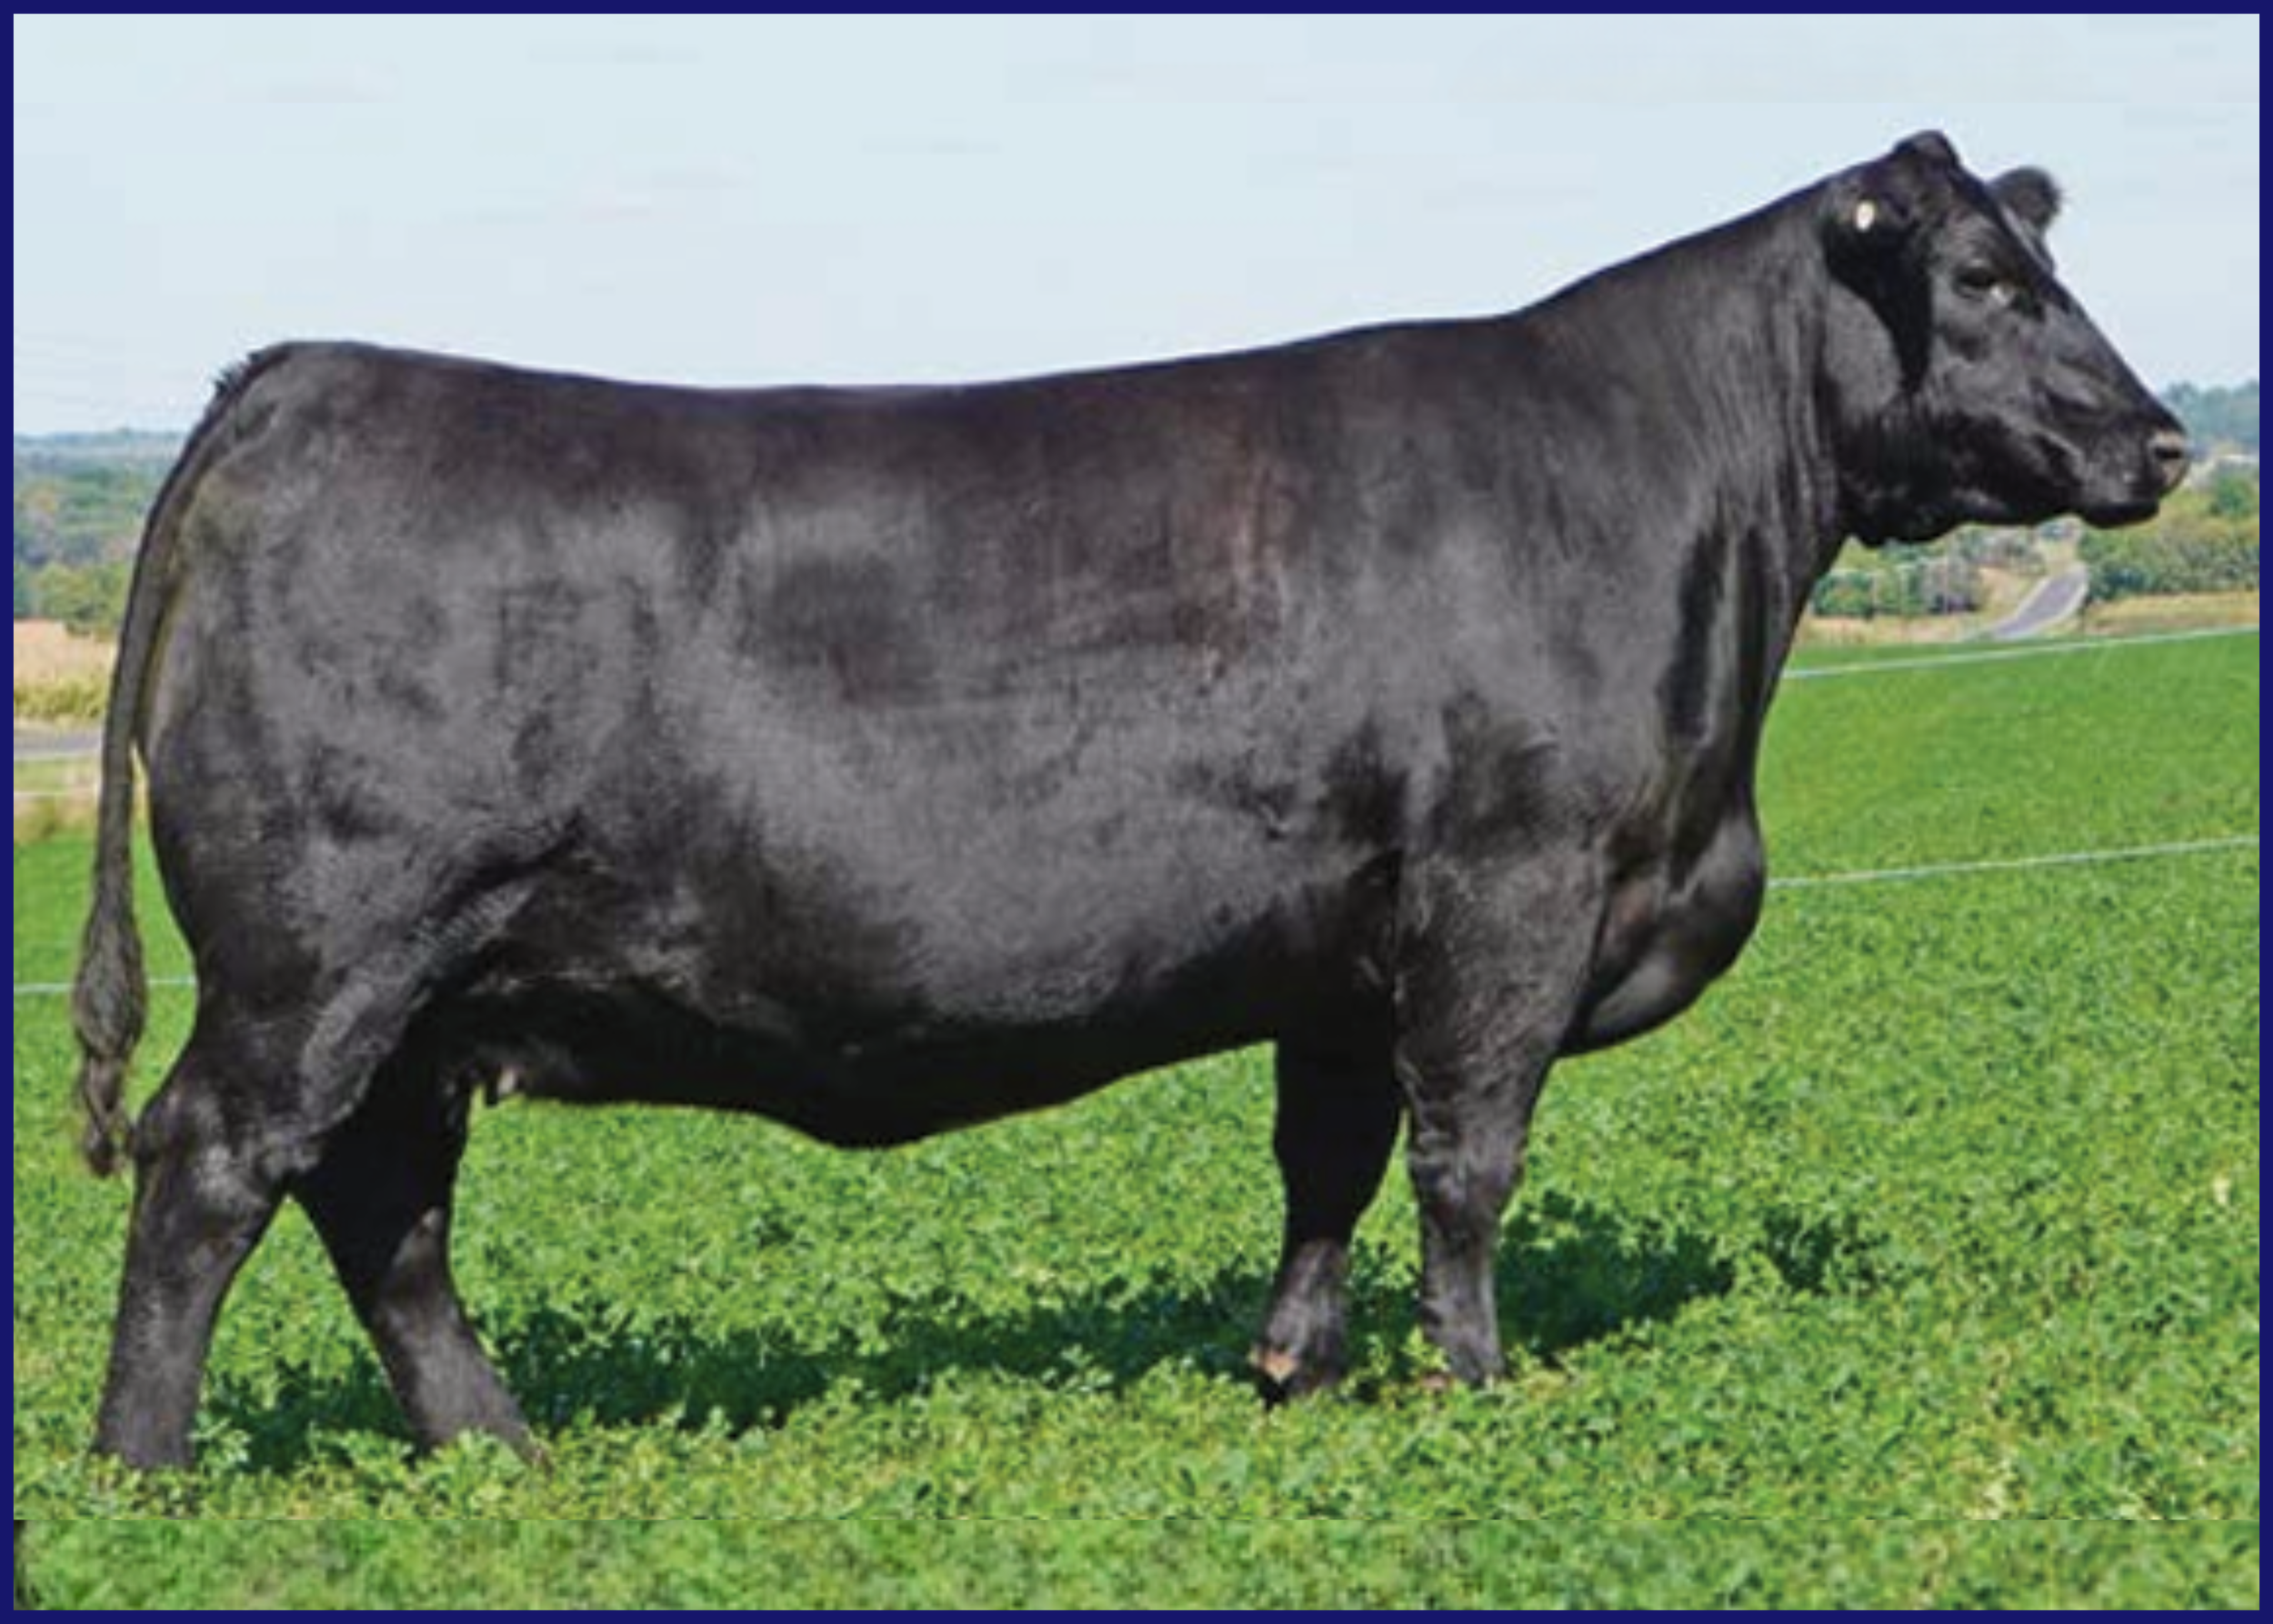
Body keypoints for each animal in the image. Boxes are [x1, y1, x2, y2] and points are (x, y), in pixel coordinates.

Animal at [73, 132, 2185, 1469]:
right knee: (216, 1174)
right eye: (1984, 276)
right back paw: (142, 1477)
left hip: (427, 997)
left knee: (382, 1209)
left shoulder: (1347, 945)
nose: (2162, 442)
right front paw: (1476, 1388)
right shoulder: (1510, 888)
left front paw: (1291, 1372)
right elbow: (1465, 1163)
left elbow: (1329, 1160)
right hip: (320, 958)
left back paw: (497, 1453)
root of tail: (296, 374)